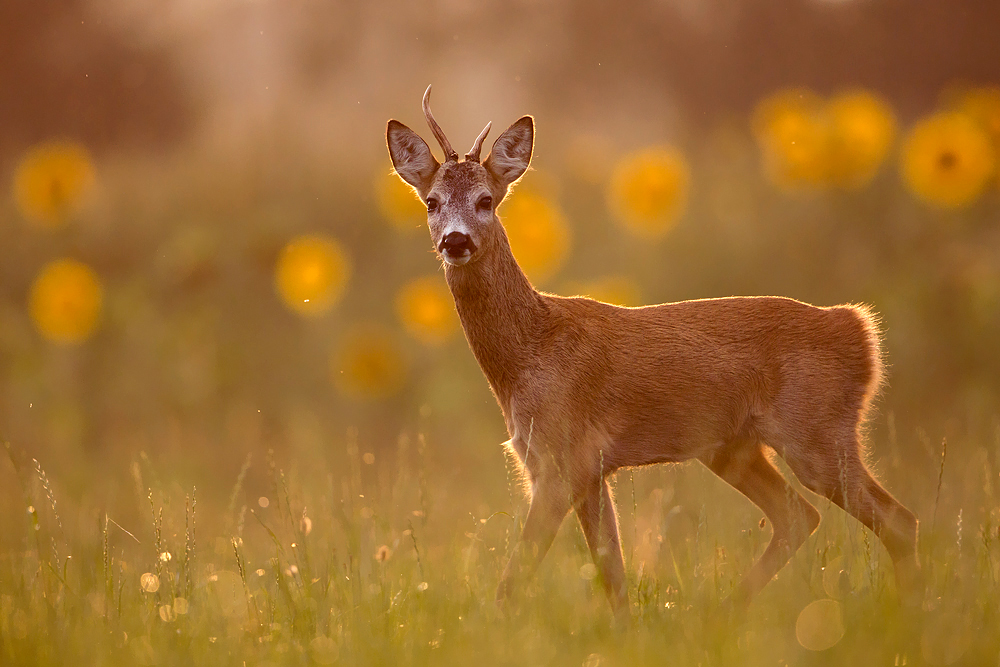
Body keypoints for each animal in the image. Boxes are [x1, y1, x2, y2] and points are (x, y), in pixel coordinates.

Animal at [384, 86, 920, 624]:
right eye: (431, 202)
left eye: (486, 200)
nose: (455, 240)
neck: (528, 355)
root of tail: (858, 328)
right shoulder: (584, 467)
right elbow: (612, 574)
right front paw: (625, 630)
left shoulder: (564, 458)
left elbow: (515, 577)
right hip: (734, 448)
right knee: (799, 516)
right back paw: (724, 612)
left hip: (816, 430)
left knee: (898, 518)